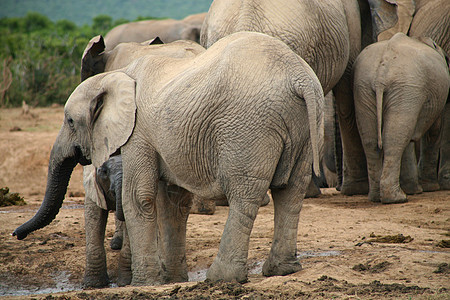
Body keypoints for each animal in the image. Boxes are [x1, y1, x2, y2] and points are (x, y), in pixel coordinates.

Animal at [13, 31, 324, 284]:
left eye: (69, 121)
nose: (16, 234)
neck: (117, 74)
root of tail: (299, 77)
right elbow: (172, 202)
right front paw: (171, 280)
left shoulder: (138, 130)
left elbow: (138, 197)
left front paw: (143, 284)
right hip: (305, 122)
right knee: (291, 191)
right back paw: (282, 270)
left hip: (249, 126)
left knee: (245, 194)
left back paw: (221, 279)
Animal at [354, 32, 448, 204]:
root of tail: (381, 73)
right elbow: (435, 130)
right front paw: (427, 189)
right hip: (407, 86)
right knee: (395, 138)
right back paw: (397, 198)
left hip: (364, 87)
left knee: (371, 140)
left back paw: (377, 197)